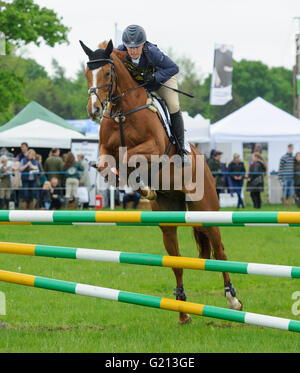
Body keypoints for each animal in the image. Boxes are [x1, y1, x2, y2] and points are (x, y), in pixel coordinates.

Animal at [79, 38, 241, 322]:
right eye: (88, 73)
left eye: (107, 73)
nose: (94, 110)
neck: (122, 111)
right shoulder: (104, 149)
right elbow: (105, 163)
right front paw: (135, 185)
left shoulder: (153, 148)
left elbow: (131, 156)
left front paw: (140, 183)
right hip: (168, 220)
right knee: (176, 261)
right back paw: (183, 312)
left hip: (207, 209)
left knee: (219, 251)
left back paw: (232, 299)